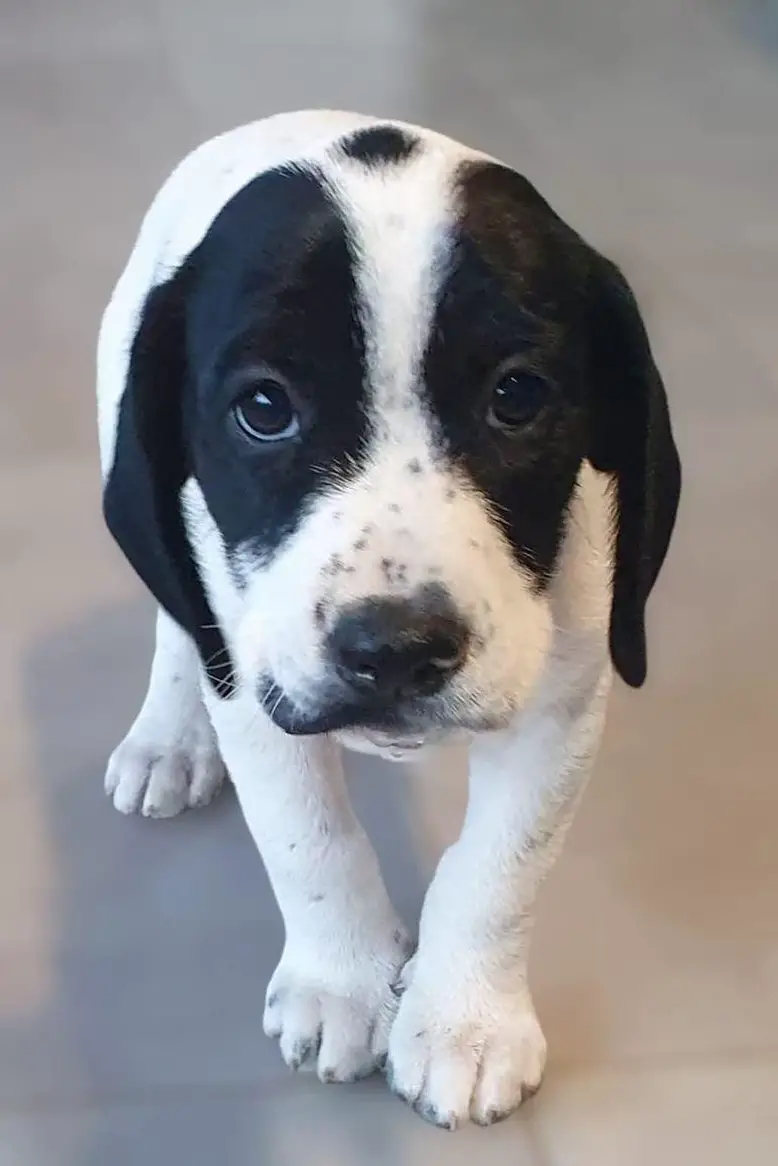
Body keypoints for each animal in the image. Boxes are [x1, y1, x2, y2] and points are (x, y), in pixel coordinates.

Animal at [97, 110, 681, 1129]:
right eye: (263, 408)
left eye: (518, 396)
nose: (397, 651)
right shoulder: (261, 689)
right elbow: (310, 843)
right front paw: (345, 982)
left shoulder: (560, 701)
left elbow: (501, 869)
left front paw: (464, 1021)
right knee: (180, 619)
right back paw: (169, 735)